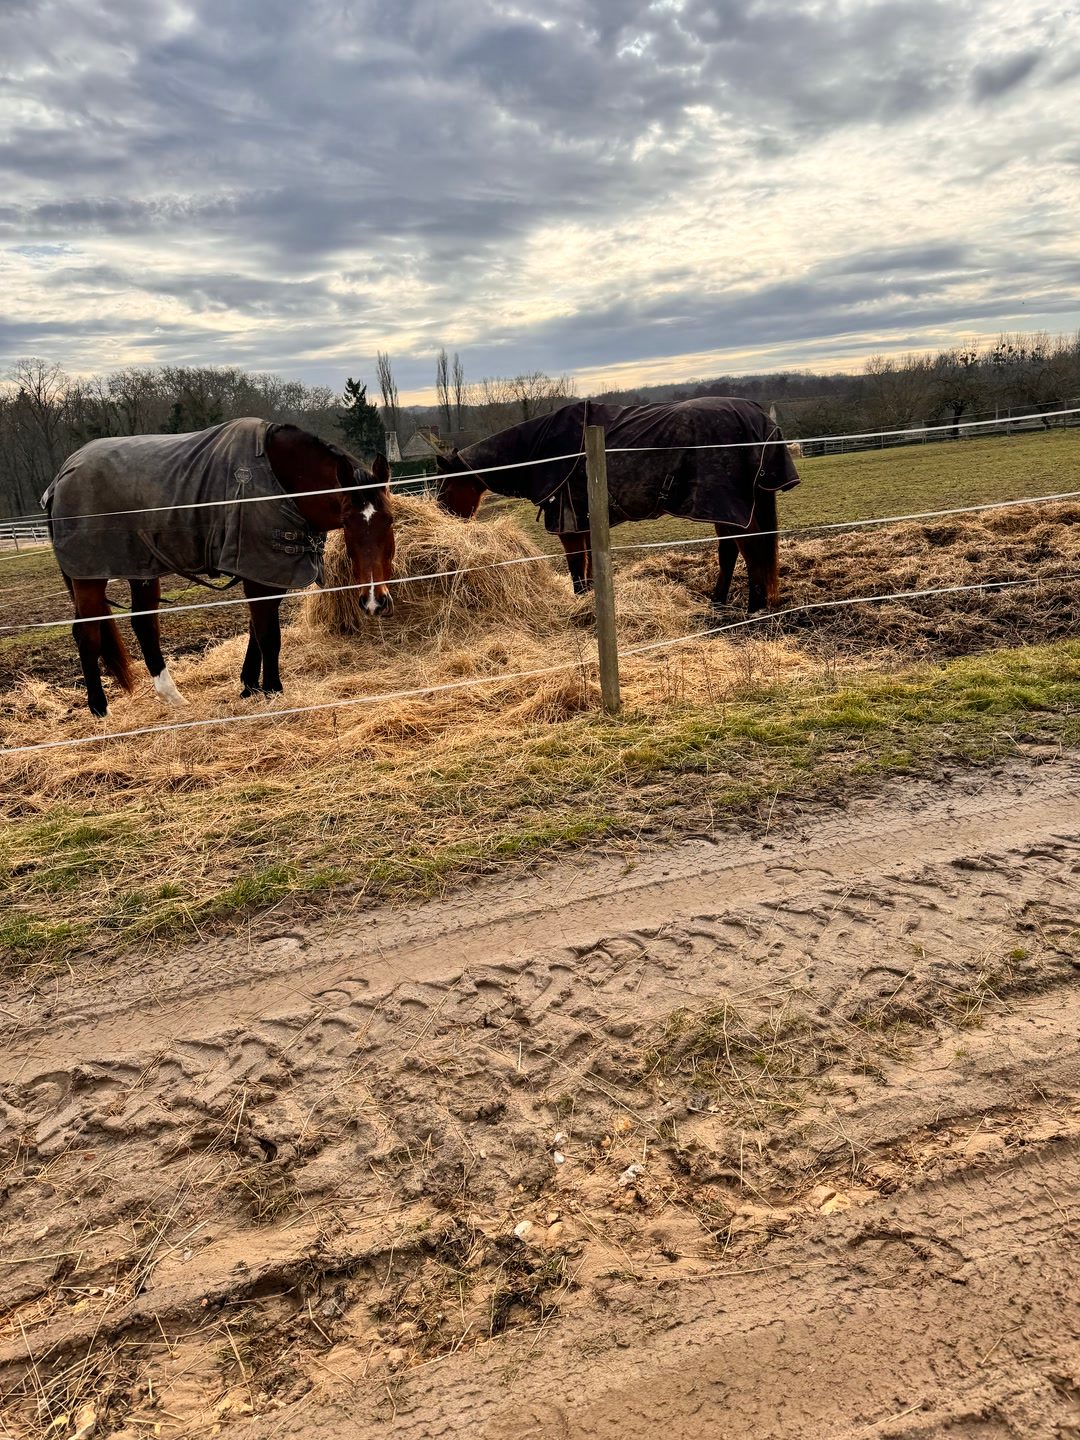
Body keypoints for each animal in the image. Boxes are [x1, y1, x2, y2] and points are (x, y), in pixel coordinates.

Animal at [43, 418, 395, 717]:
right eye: (347, 522)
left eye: (390, 519)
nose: (374, 601)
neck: (281, 480)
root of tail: (61, 477)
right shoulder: (259, 573)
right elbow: (269, 634)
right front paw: (273, 691)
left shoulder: (268, 570)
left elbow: (256, 629)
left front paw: (250, 685)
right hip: (89, 576)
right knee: (87, 633)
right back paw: (99, 709)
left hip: (141, 569)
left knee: (143, 624)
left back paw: (171, 696)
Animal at [435, 397, 800, 613]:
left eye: (447, 484)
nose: (442, 515)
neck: (543, 452)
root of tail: (757, 416)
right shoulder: (582, 524)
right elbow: (587, 572)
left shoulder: (568, 526)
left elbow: (576, 572)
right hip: (723, 509)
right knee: (731, 551)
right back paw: (719, 601)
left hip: (728, 507)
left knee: (750, 548)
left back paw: (753, 607)